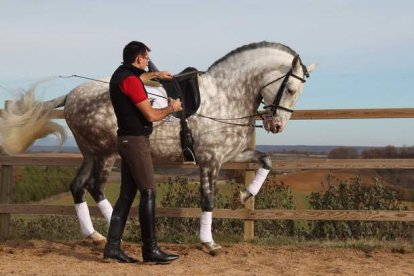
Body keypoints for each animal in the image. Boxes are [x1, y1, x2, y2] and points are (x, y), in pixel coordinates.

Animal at [0, 41, 316, 254]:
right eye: (290, 89)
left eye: (298, 92)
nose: (276, 125)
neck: (227, 96)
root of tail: (73, 94)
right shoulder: (210, 161)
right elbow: (208, 200)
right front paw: (209, 243)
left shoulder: (233, 154)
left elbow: (266, 160)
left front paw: (243, 195)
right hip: (106, 153)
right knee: (95, 187)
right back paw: (118, 230)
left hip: (90, 152)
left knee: (78, 186)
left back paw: (96, 236)